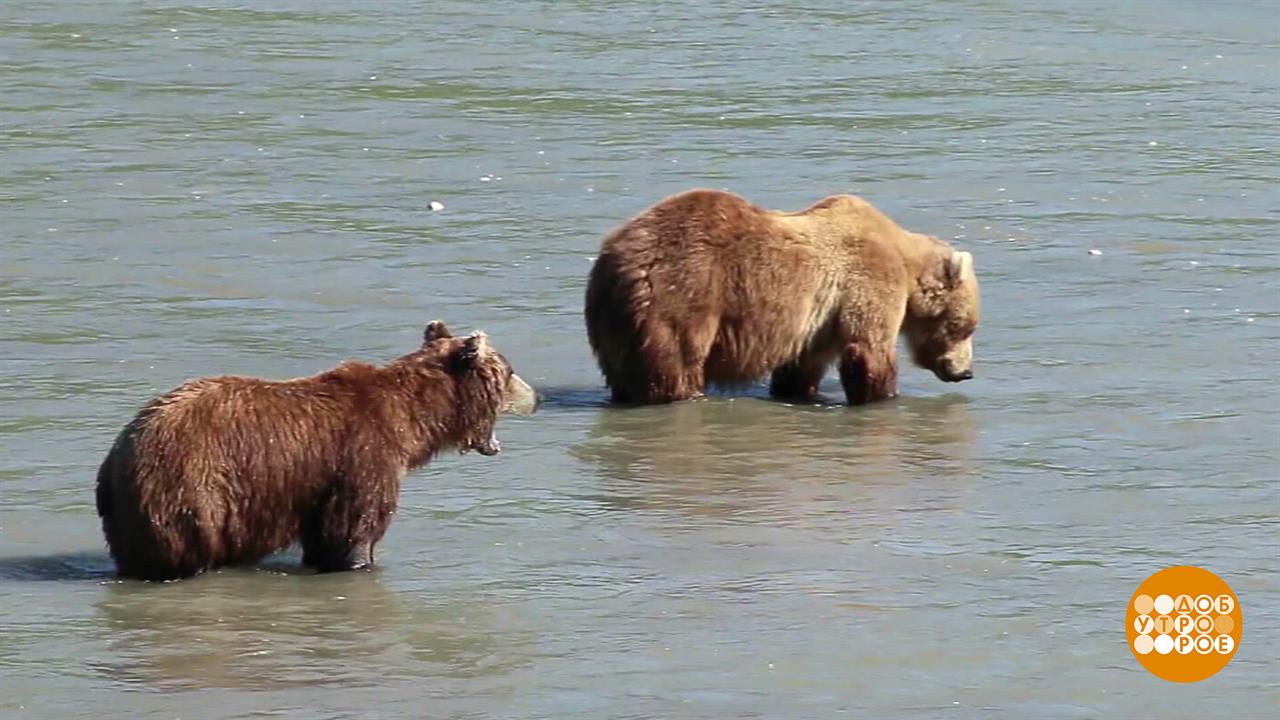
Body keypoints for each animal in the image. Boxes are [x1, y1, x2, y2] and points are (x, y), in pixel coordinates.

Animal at [95, 321, 538, 581]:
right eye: (511, 371)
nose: (536, 398)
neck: (413, 422)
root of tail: (119, 455)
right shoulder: (363, 455)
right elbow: (354, 527)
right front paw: (359, 561)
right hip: (191, 491)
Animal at [584, 189, 980, 405]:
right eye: (963, 327)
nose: (965, 372)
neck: (904, 260)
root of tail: (615, 260)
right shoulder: (868, 281)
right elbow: (869, 352)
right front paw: (885, 396)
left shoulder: (818, 321)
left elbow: (802, 366)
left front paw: (798, 390)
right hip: (682, 296)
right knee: (676, 366)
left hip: (613, 326)